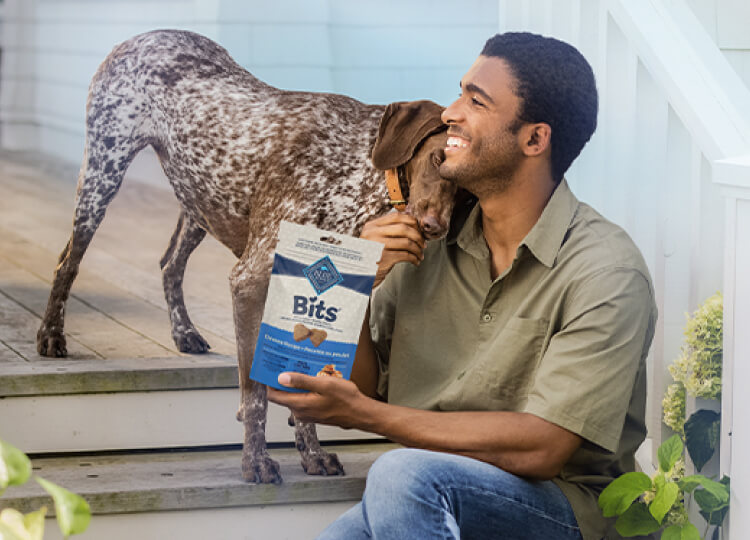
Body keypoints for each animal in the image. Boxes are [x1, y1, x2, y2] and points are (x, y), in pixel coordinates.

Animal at [36, 29, 458, 484]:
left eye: (468, 189)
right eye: (437, 159)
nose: (435, 226)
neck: (358, 174)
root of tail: (144, 36)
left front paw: (311, 452)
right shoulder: (252, 281)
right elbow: (255, 396)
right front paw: (255, 461)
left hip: (199, 201)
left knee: (169, 264)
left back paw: (184, 332)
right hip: (104, 173)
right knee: (67, 262)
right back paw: (51, 336)